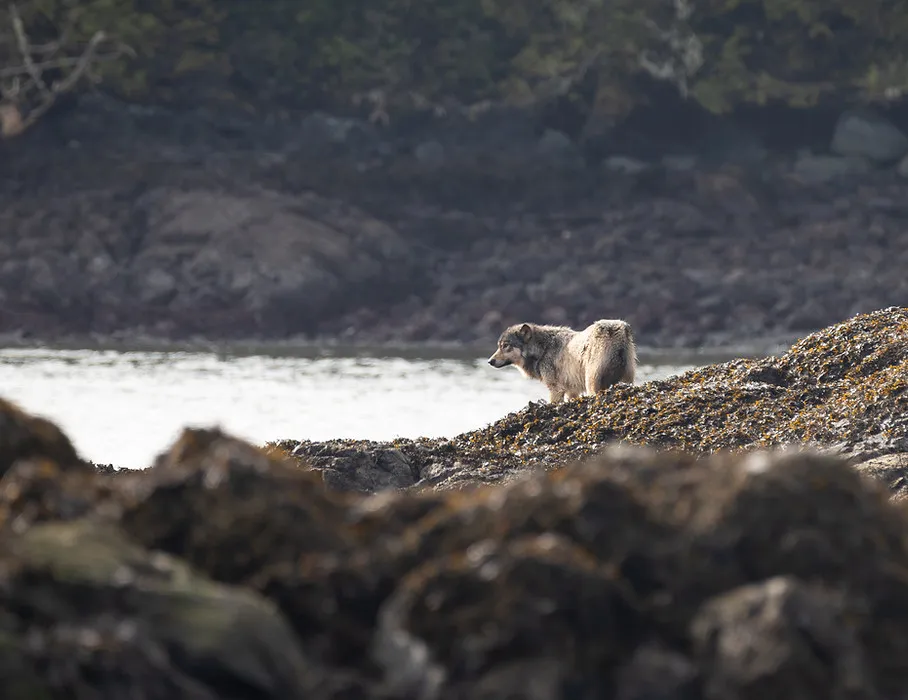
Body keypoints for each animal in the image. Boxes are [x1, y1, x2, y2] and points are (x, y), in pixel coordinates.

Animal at [488, 319, 637, 403]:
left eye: (505, 345)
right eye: (499, 345)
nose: (490, 361)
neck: (543, 349)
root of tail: (616, 328)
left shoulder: (556, 389)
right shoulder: (572, 391)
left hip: (592, 384)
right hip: (625, 381)